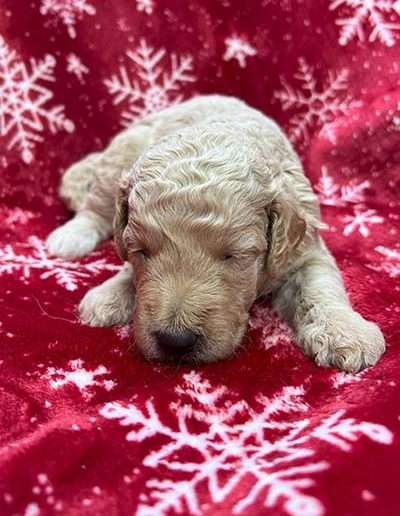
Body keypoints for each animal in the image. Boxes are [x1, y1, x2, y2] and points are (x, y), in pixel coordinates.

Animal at [47, 94, 384, 370]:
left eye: (232, 256)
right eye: (142, 251)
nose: (175, 341)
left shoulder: (304, 248)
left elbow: (320, 286)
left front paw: (345, 333)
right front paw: (110, 295)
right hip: (123, 152)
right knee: (96, 205)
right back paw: (71, 237)